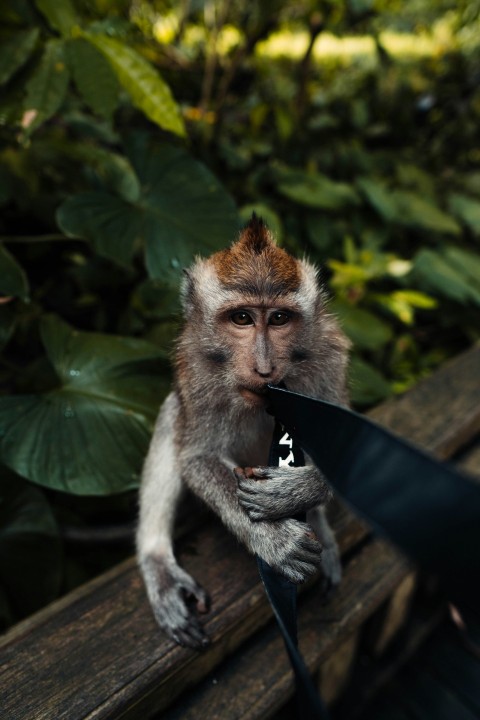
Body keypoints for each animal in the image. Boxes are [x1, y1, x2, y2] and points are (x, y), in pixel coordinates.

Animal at [135, 214, 348, 648]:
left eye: (279, 318)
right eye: (242, 318)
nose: (264, 368)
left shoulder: (329, 360)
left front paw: (294, 492)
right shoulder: (197, 369)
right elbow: (197, 456)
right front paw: (275, 541)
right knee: (172, 413)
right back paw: (156, 560)